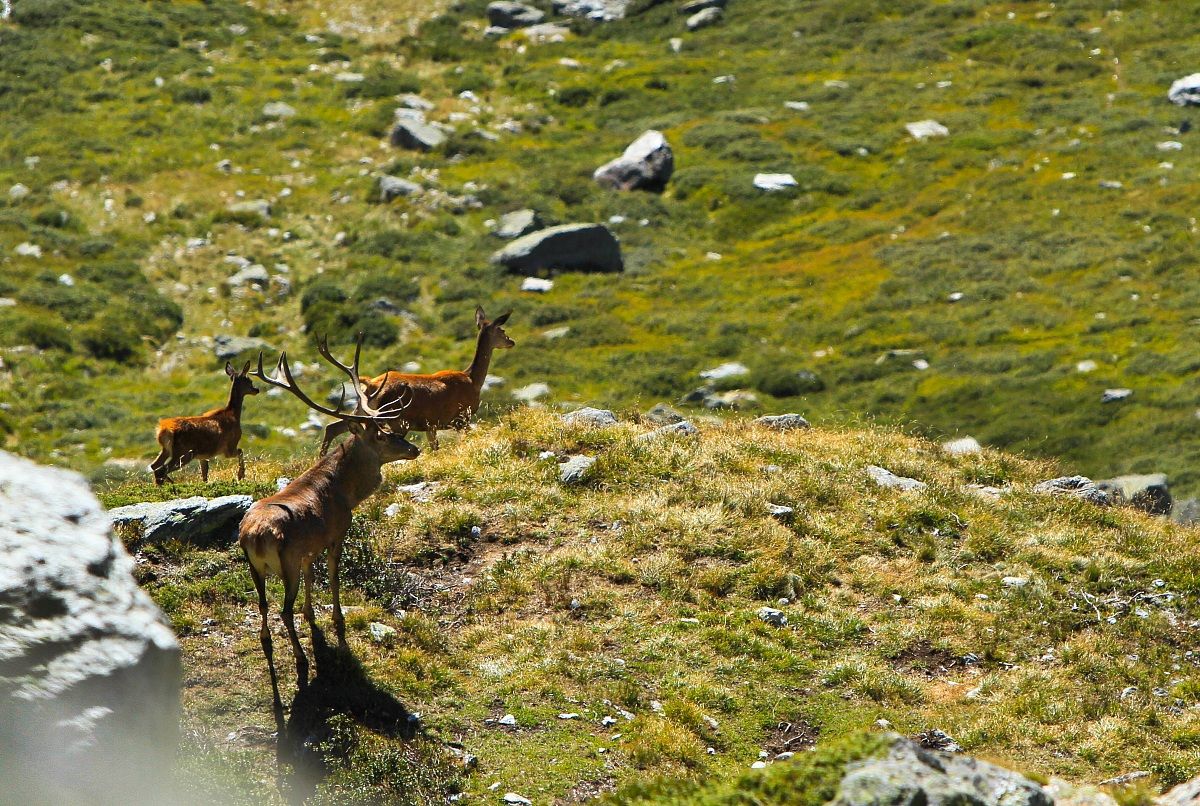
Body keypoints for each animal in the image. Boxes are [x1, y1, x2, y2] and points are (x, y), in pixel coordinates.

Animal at [239, 334, 419, 709]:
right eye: (383, 435)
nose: (414, 449)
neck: (345, 491)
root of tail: (254, 535)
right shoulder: (336, 533)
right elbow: (334, 578)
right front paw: (337, 623)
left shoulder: (309, 548)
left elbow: (312, 577)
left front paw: (313, 617)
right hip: (286, 561)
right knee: (282, 610)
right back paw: (300, 659)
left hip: (254, 566)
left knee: (263, 605)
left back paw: (270, 655)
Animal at [319, 306, 514, 456]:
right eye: (502, 330)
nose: (511, 341)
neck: (473, 379)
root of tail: (371, 384)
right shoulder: (461, 417)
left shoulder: (431, 424)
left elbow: (435, 449)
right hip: (394, 419)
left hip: (363, 410)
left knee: (333, 426)